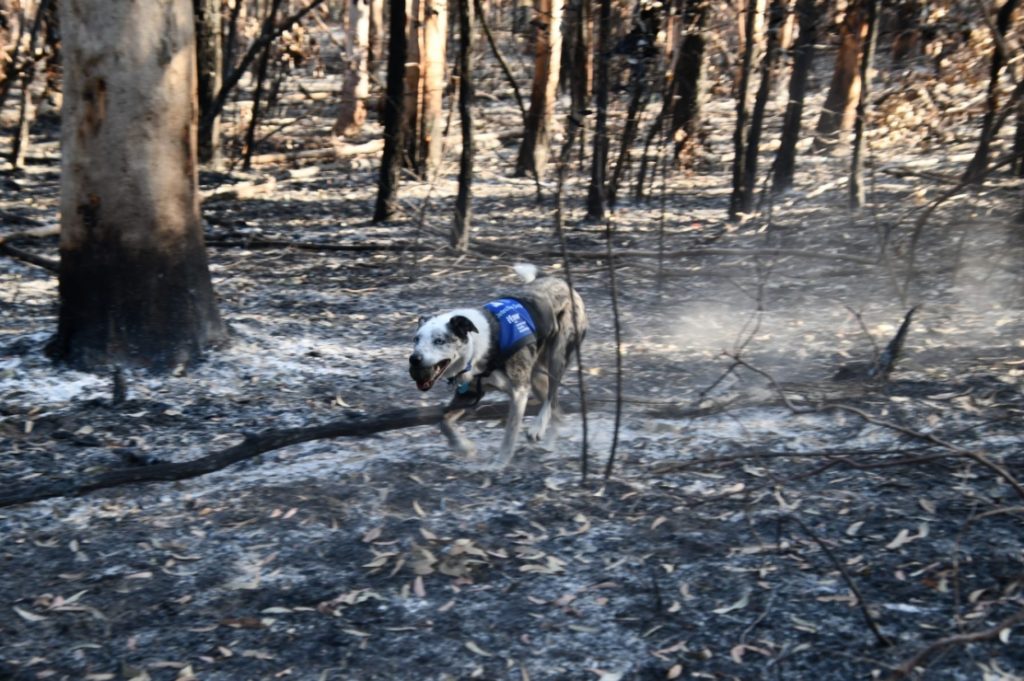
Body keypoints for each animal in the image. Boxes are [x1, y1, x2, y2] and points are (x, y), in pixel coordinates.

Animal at [405, 261, 585, 466]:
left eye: (439, 341)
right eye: (416, 339)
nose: (414, 359)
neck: (479, 348)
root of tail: (556, 280)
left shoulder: (519, 391)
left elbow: (510, 433)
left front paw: (500, 464)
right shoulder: (470, 394)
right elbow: (443, 422)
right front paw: (464, 447)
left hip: (557, 357)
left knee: (552, 397)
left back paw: (537, 428)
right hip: (537, 378)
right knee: (557, 410)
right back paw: (548, 444)